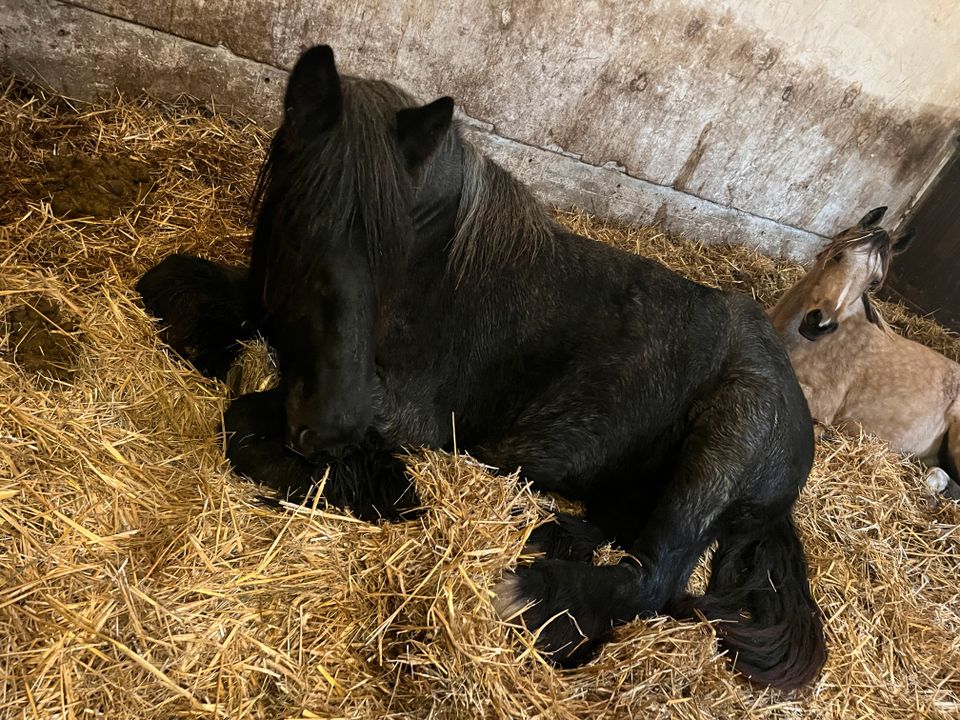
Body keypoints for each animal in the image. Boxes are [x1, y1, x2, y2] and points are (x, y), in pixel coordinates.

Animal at [137, 46, 824, 692]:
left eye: (395, 251)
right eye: (299, 225)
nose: (331, 429)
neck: (436, 272)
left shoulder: (404, 410)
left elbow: (243, 423)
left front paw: (374, 487)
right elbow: (173, 281)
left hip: (724, 440)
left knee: (655, 576)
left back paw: (536, 598)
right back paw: (549, 535)